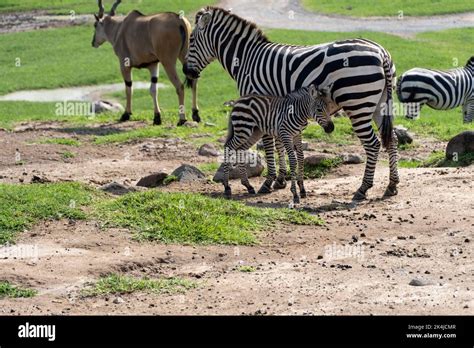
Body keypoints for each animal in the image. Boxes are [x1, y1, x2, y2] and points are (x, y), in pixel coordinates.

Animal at [185, 6, 400, 200]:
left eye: (191, 40)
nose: (187, 73)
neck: (247, 59)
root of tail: (381, 52)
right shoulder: (274, 110)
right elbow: (279, 143)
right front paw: (280, 180)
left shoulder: (259, 104)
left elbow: (268, 145)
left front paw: (268, 181)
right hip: (380, 104)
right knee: (392, 139)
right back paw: (391, 185)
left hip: (358, 104)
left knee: (373, 144)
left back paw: (363, 189)